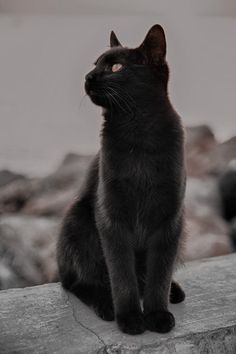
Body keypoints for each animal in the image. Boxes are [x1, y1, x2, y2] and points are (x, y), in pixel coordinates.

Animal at [57, 24, 186, 334]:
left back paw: (173, 291)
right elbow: (121, 274)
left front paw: (158, 314)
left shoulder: (170, 220)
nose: (88, 77)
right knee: (77, 281)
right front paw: (129, 318)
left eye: (116, 67)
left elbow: (159, 273)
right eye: (95, 65)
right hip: (79, 221)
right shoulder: (111, 218)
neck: (137, 132)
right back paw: (105, 304)